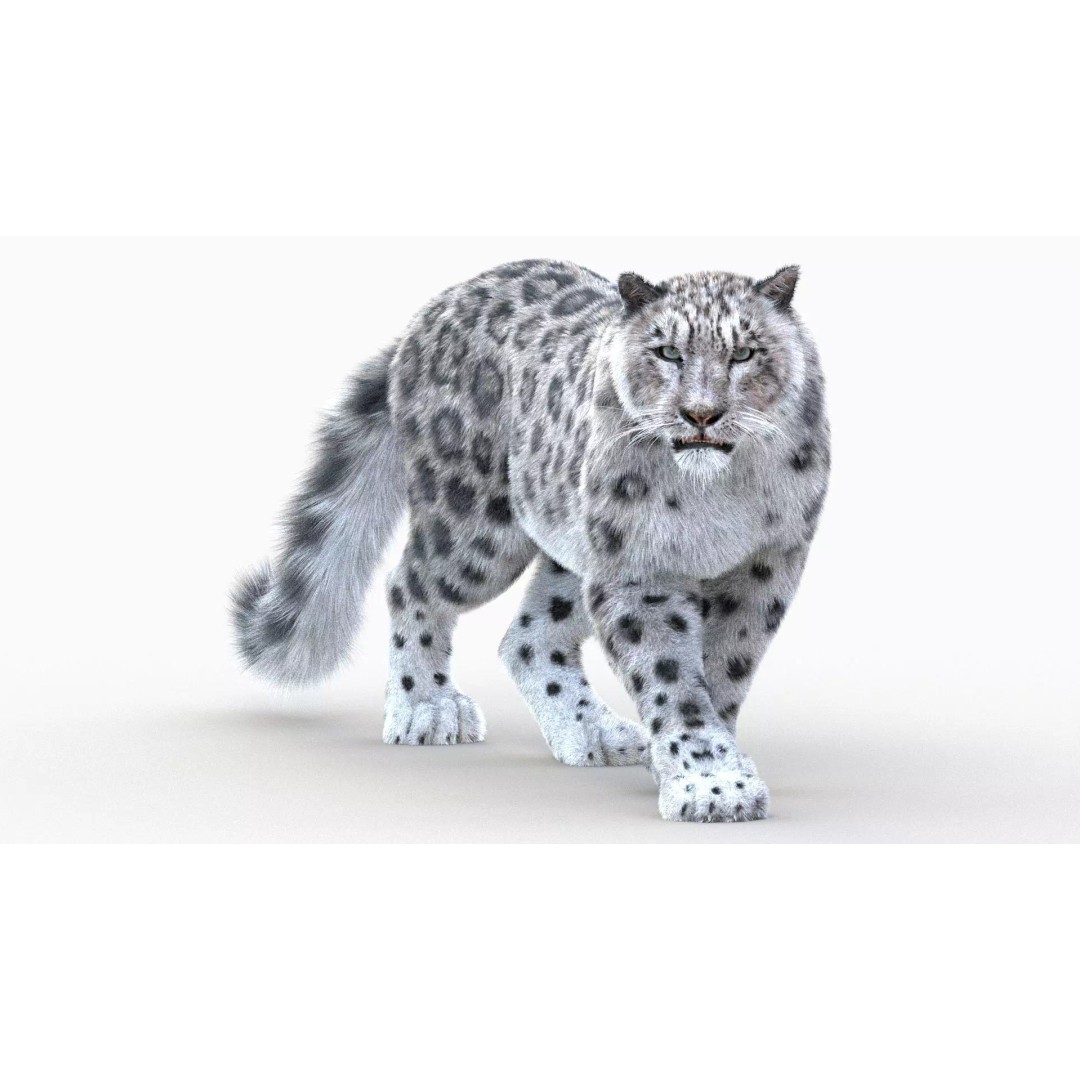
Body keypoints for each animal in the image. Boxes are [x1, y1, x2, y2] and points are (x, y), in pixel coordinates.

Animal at [232, 258, 830, 822]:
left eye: (745, 353)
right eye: (667, 352)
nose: (701, 414)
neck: (719, 491)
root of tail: (432, 311)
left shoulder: (765, 566)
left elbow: (726, 667)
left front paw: (703, 768)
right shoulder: (640, 568)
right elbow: (671, 676)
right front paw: (709, 782)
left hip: (575, 543)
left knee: (529, 636)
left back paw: (595, 734)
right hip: (476, 528)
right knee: (410, 582)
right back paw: (427, 708)